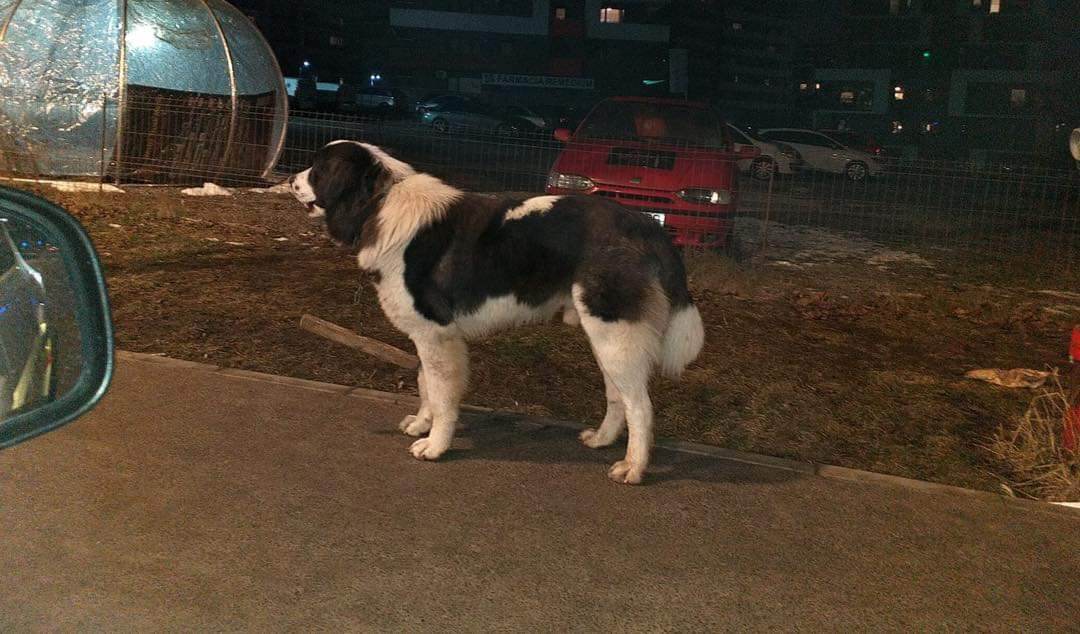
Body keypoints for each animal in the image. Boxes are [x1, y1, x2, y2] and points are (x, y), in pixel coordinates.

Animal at [289, 140, 704, 484]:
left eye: (319, 169)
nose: (291, 180)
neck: (379, 202)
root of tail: (646, 225)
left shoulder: (437, 334)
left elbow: (441, 393)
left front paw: (435, 445)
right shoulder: (428, 335)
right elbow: (425, 384)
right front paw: (422, 424)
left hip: (615, 333)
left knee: (640, 406)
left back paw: (633, 467)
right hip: (606, 337)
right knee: (617, 394)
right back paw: (602, 440)